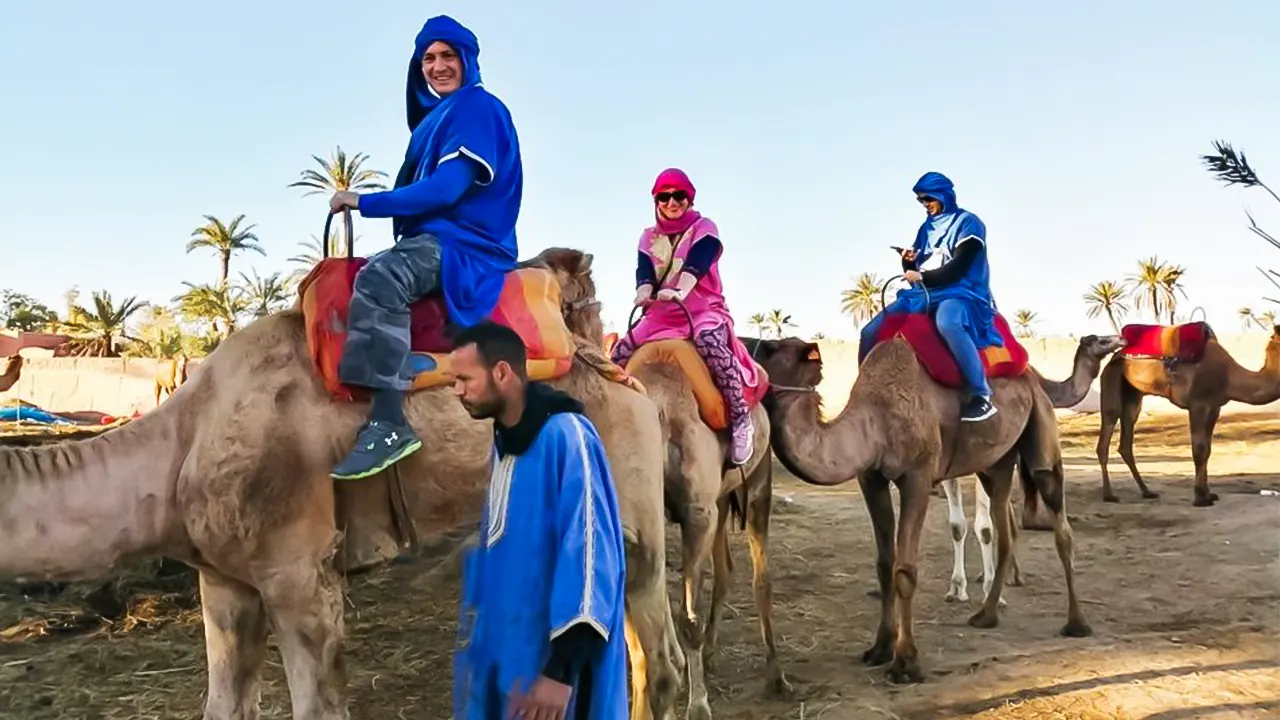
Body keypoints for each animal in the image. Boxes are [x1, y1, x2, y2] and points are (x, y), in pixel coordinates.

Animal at [0, 245, 686, 717]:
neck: (178, 446)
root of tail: (617, 370)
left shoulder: (299, 572)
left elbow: (318, 704)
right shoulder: (223, 581)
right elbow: (224, 705)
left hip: (631, 503)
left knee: (658, 652)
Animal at [747, 333, 1090, 681]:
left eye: (772, 349)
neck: (876, 417)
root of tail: (1033, 378)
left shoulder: (918, 476)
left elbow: (905, 570)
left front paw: (905, 663)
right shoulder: (870, 478)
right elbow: (885, 564)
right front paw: (879, 648)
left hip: (1041, 432)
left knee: (1060, 523)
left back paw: (1077, 623)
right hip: (996, 462)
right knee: (1004, 529)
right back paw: (986, 615)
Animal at [936, 330, 1126, 604]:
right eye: (1100, 340)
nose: (1120, 339)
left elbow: (986, 523)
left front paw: (988, 584)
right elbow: (969, 525)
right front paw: (968, 586)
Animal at [1095, 324, 1280, 504]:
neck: (1228, 377)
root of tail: (1115, 355)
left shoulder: (1215, 407)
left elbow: (1208, 449)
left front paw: (1208, 494)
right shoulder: (1198, 404)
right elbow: (1199, 449)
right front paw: (1200, 498)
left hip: (1133, 394)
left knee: (1126, 438)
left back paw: (1147, 491)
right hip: (1111, 377)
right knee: (1108, 427)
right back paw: (1109, 495)